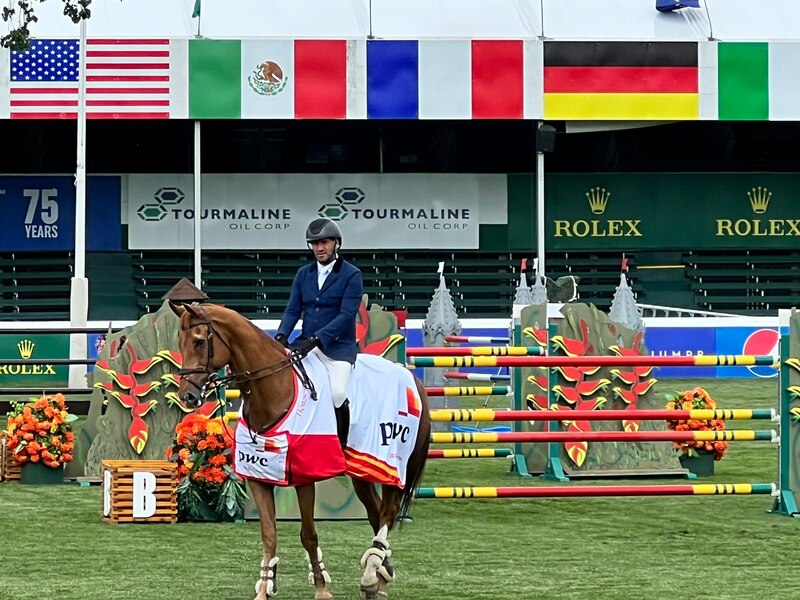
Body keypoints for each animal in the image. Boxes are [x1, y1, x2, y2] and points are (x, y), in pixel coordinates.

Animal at [170, 304, 432, 600]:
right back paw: (380, 576)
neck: (274, 390)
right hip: (363, 468)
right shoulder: (259, 477)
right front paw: (264, 588)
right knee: (376, 512)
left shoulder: (304, 477)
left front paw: (321, 589)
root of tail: (408, 375)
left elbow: (308, 534)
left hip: (394, 465)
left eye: (199, 341)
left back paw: (370, 575)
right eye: (180, 341)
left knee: (389, 510)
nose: (188, 396)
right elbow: (269, 535)